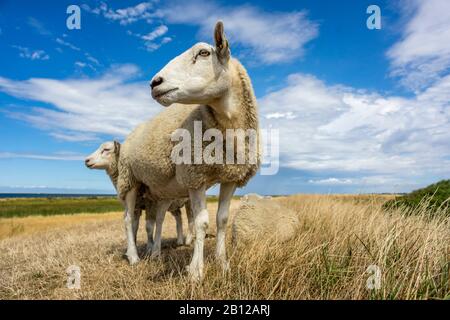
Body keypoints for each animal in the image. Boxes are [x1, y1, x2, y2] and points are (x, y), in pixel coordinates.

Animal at [118, 21, 260, 280]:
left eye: (204, 53)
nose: (154, 83)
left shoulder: (232, 177)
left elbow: (222, 220)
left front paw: (223, 264)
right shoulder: (195, 176)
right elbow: (202, 223)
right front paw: (196, 271)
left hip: (160, 189)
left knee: (157, 219)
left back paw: (155, 252)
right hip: (130, 180)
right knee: (127, 219)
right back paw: (133, 257)